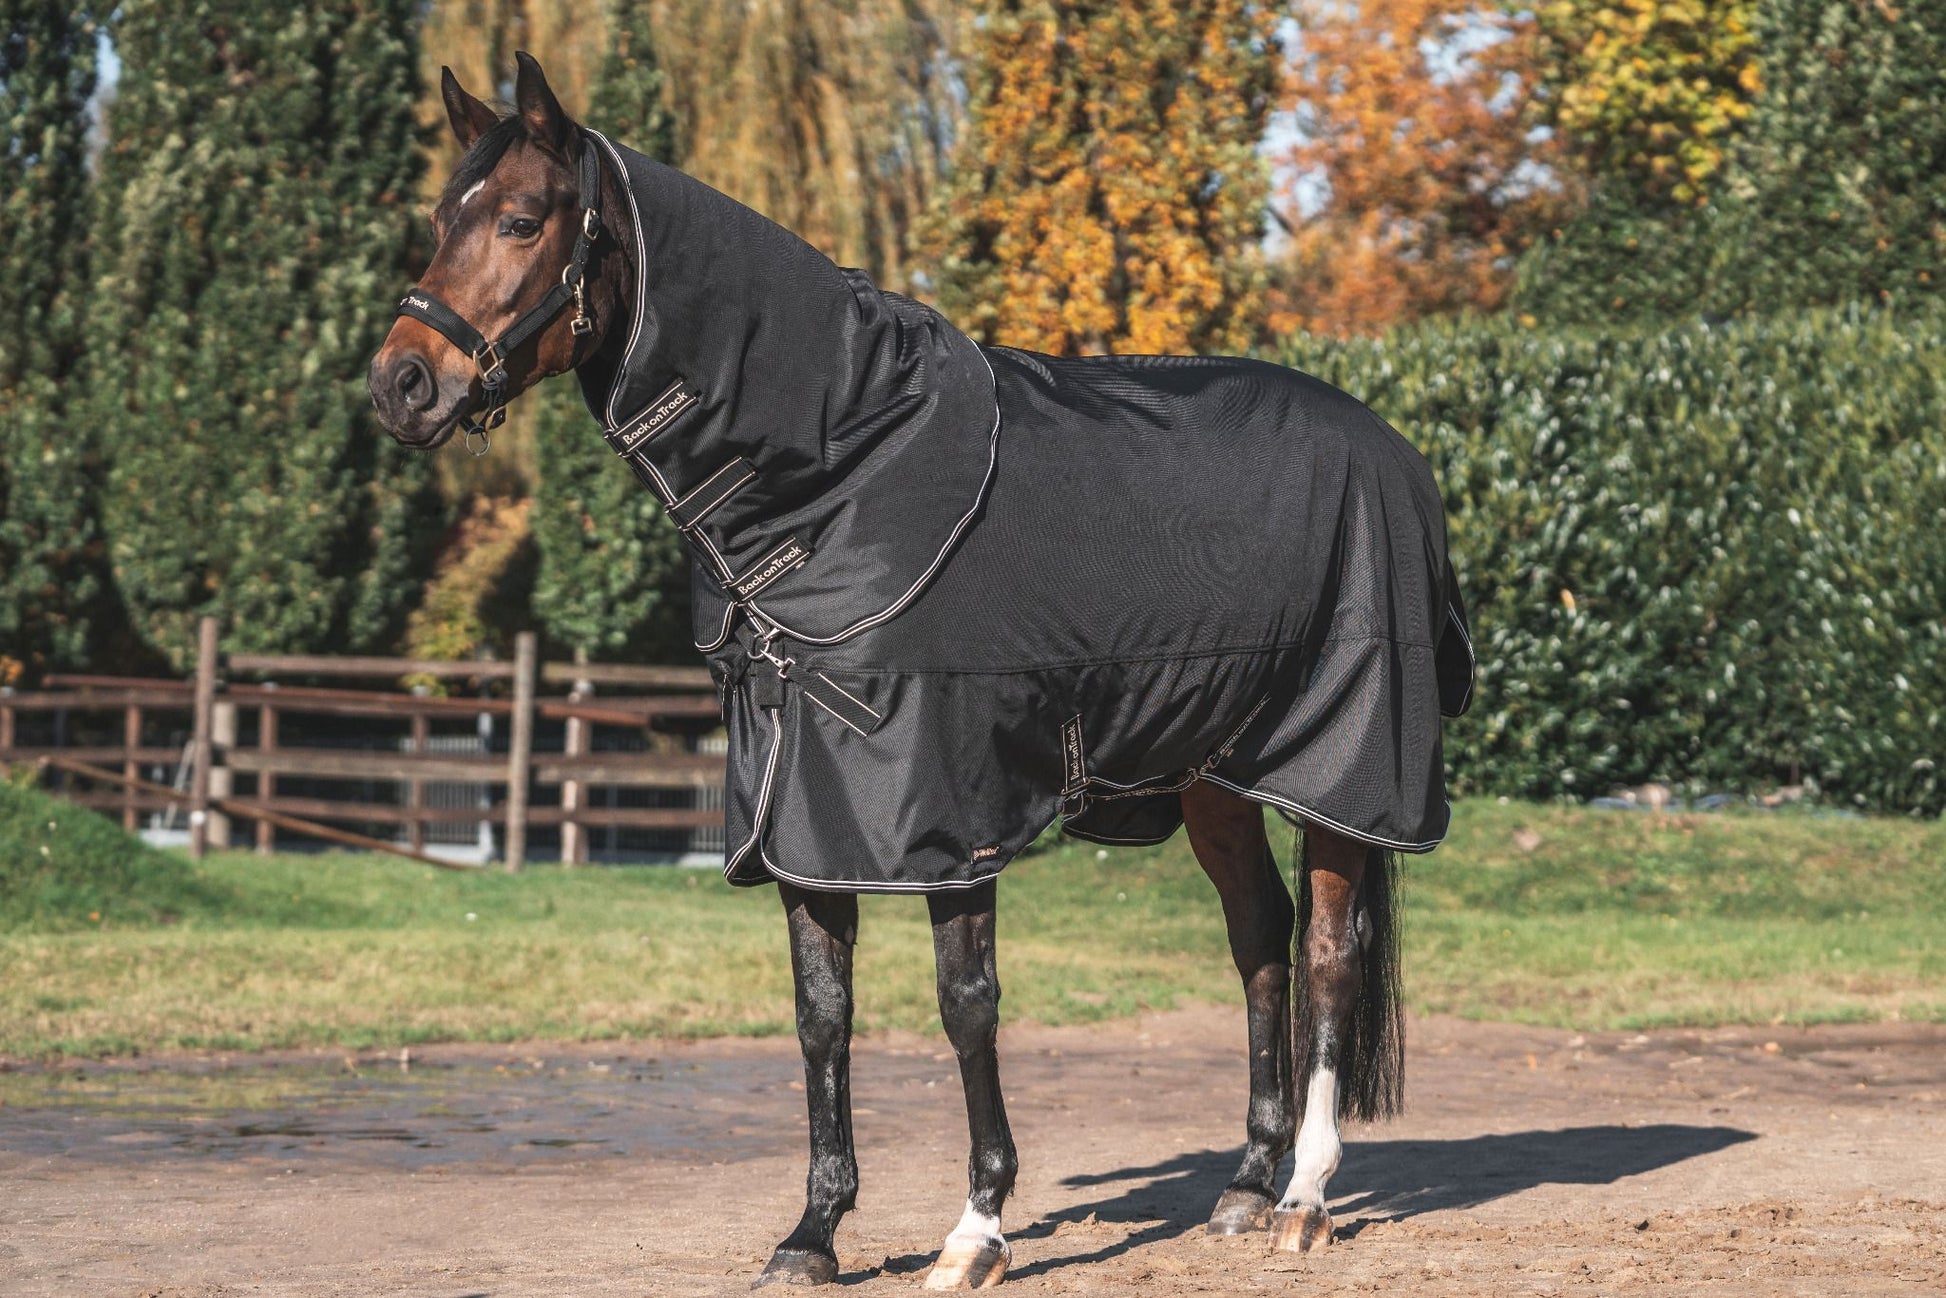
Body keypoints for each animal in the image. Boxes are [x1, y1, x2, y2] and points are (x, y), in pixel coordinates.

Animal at [368, 53, 1473, 1290]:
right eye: (438, 219)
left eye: (519, 218)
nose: (400, 383)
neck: (846, 473)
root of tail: (1390, 449)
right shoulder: (799, 808)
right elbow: (820, 1013)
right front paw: (810, 1232)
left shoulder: (947, 810)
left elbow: (965, 1005)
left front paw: (976, 1223)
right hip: (1214, 773)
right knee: (1258, 939)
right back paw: (1239, 1184)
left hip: (1337, 763)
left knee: (1325, 951)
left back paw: (1302, 1196)